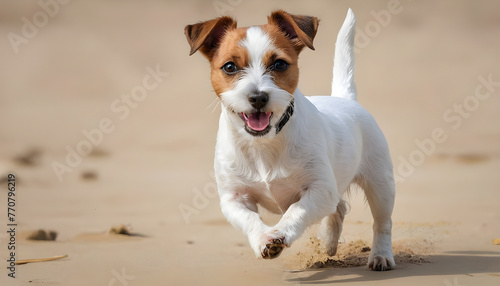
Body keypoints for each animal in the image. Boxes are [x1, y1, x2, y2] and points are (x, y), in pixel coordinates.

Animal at [184, 7, 394, 270]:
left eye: (279, 64)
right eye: (230, 67)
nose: (258, 97)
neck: (264, 143)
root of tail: (345, 98)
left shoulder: (320, 189)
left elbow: (296, 210)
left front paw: (280, 233)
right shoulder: (233, 199)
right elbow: (250, 218)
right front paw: (263, 239)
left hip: (381, 184)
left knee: (382, 222)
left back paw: (381, 255)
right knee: (339, 207)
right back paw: (329, 241)